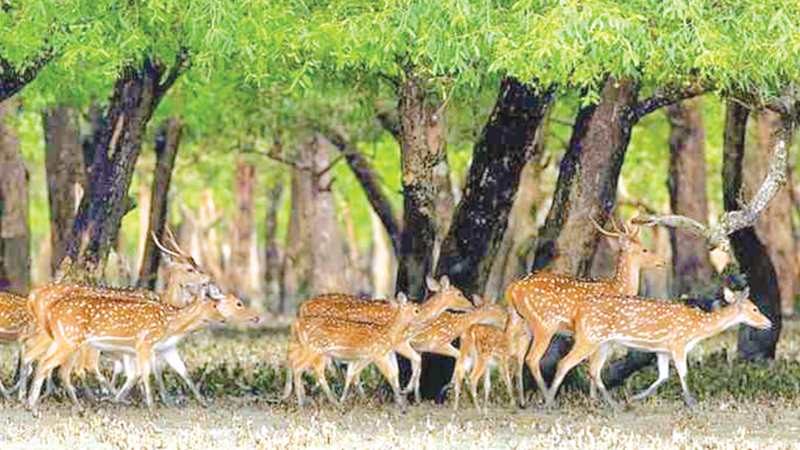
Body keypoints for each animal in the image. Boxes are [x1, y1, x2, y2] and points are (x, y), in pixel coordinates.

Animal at [506, 213, 668, 406]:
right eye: (644, 249)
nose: (662, 262)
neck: (617, 288)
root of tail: (514, 289)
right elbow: (594, 367)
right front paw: (595, 400)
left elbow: (591, 367)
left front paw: (592, 399)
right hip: (544, 324)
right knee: (532, 358)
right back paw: (548, 399)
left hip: (520, 322)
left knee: (515, 357)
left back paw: (520, 401)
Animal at [548, 288, 772, 408]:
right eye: (755, 308)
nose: (769, 323)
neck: (697, 328)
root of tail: (577, 313)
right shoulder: (678, 343)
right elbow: (683, 373)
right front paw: (692, 403)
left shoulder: (662, 349)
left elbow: (663, 376)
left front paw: (634, 398)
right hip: (589, 337)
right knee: (564, 363)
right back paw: (549, 401)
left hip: (604, 342)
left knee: (593, 370)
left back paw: (613, 404)